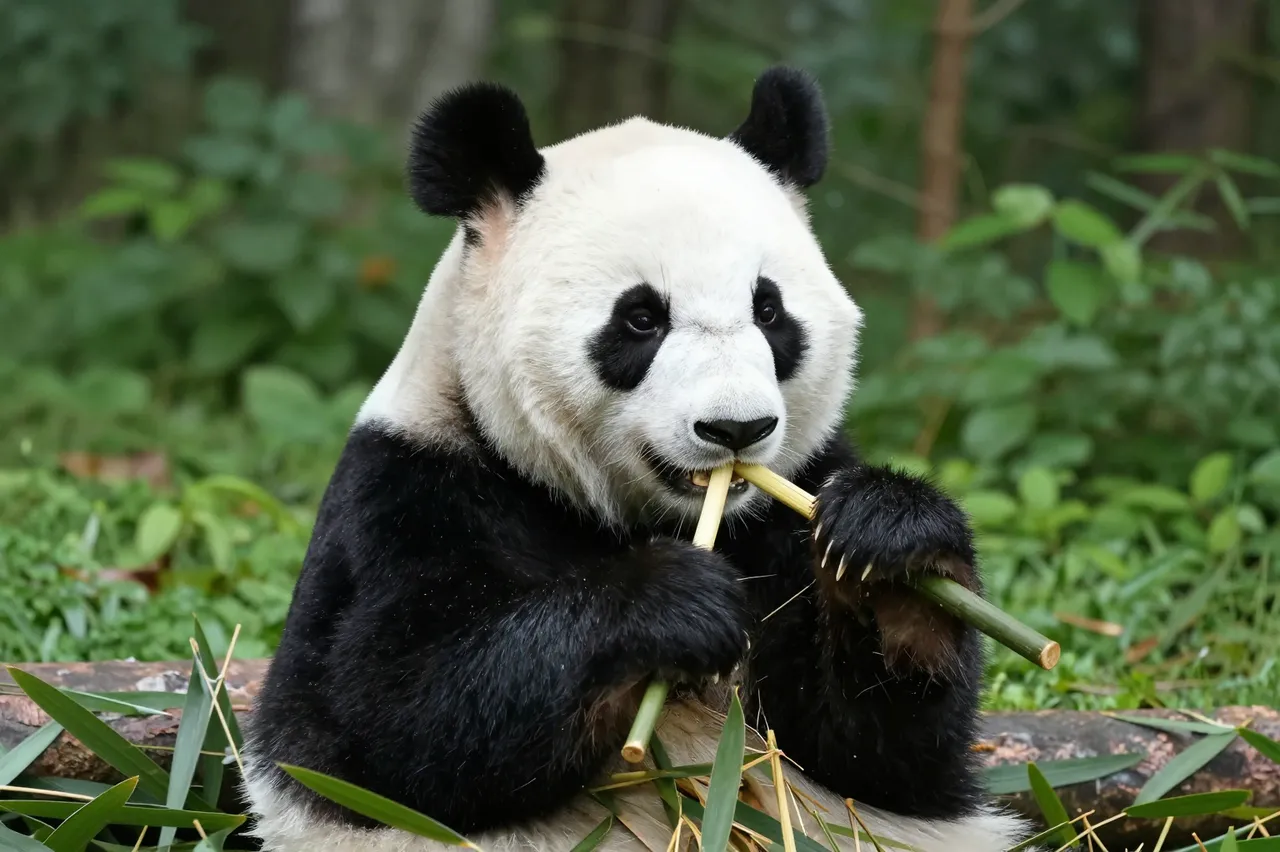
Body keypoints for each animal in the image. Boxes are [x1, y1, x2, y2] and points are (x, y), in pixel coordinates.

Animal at [240, 67, 1041, 852]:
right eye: (642, 318)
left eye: (770, 310)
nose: (736, 428)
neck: (635, 515)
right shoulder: (412, 495)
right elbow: (389, 727)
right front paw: (669, 603)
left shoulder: (791, 499)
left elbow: (876, 759)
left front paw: (889, 547)